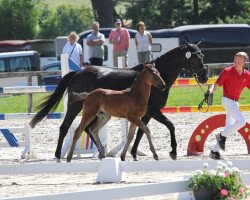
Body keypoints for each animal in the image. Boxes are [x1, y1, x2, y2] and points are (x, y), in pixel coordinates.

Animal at [29, 40, 209, 161]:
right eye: (195, 57)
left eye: (202, 55)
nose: (205, 76)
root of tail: (77, 72)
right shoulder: (153, 110)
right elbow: (169, 126)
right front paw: (173, 152)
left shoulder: (146, 113)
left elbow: (139, 132)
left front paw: (134, 153)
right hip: (77, 107)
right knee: (66, 127)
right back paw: (59, 155)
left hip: (96, 112)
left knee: (88, 129)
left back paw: (100, 154)